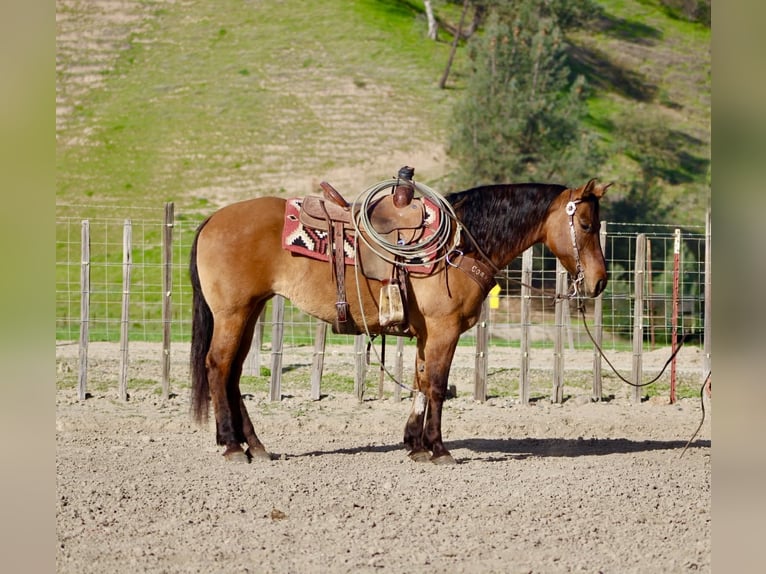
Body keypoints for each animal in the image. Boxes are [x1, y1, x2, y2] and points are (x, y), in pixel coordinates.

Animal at [189, 178, 610, 464]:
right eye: (587, 226)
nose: (600, 281)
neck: (460, 245)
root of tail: (212, 219)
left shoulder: (428, 334)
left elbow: (420, 382)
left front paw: (415, 445)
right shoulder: (444, 330)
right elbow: (436, 385)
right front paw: (439, 449)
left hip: (249, 311)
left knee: (232, 373)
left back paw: (255, 446)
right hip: (233, 314)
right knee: (218, 366)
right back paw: (232, 446)